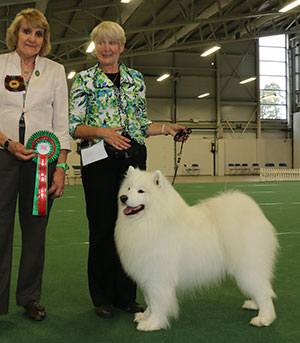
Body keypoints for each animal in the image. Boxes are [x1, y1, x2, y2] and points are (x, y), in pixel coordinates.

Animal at [115, 167, 278, 334]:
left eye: (141, 191)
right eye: (128, 188)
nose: (123, 197)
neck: (151, 221)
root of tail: (256, 215)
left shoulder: (158, 277)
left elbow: (157, 303)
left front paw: (152, 323)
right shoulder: (147, 276)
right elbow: (150, 301)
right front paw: (145, 316)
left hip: (248, 268)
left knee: (264, 293)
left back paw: (264, 318)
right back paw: (254, 305)